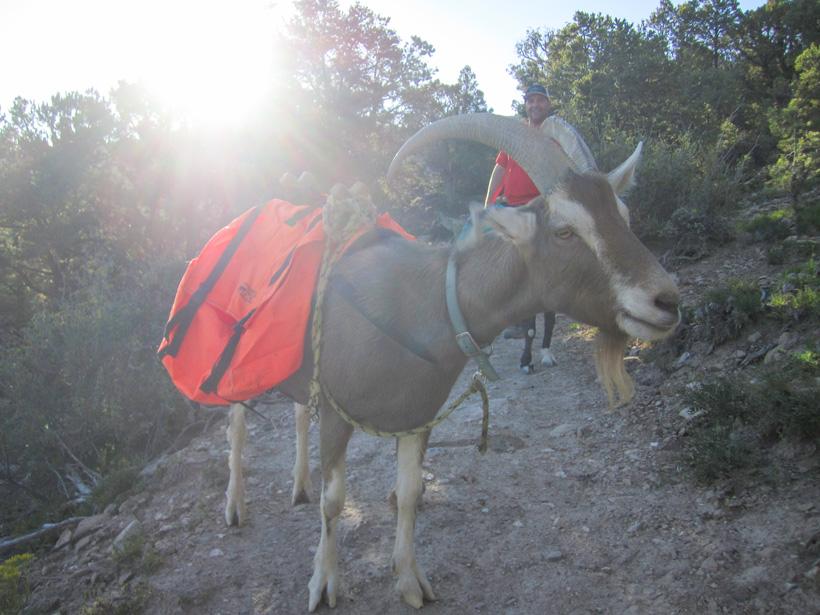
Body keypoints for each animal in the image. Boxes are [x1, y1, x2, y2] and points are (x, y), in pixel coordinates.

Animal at [223, 113, 680, 610]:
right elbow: (335, 501)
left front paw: (410, 581)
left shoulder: (417, 416)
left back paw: (299, 484)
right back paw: (235, 506)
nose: (666, 301)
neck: (423, 305)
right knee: (237, 428)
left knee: (296, 413)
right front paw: (323, 583)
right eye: (564, 230)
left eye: (624, 217)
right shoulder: (336, 412)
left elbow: (409, 494)